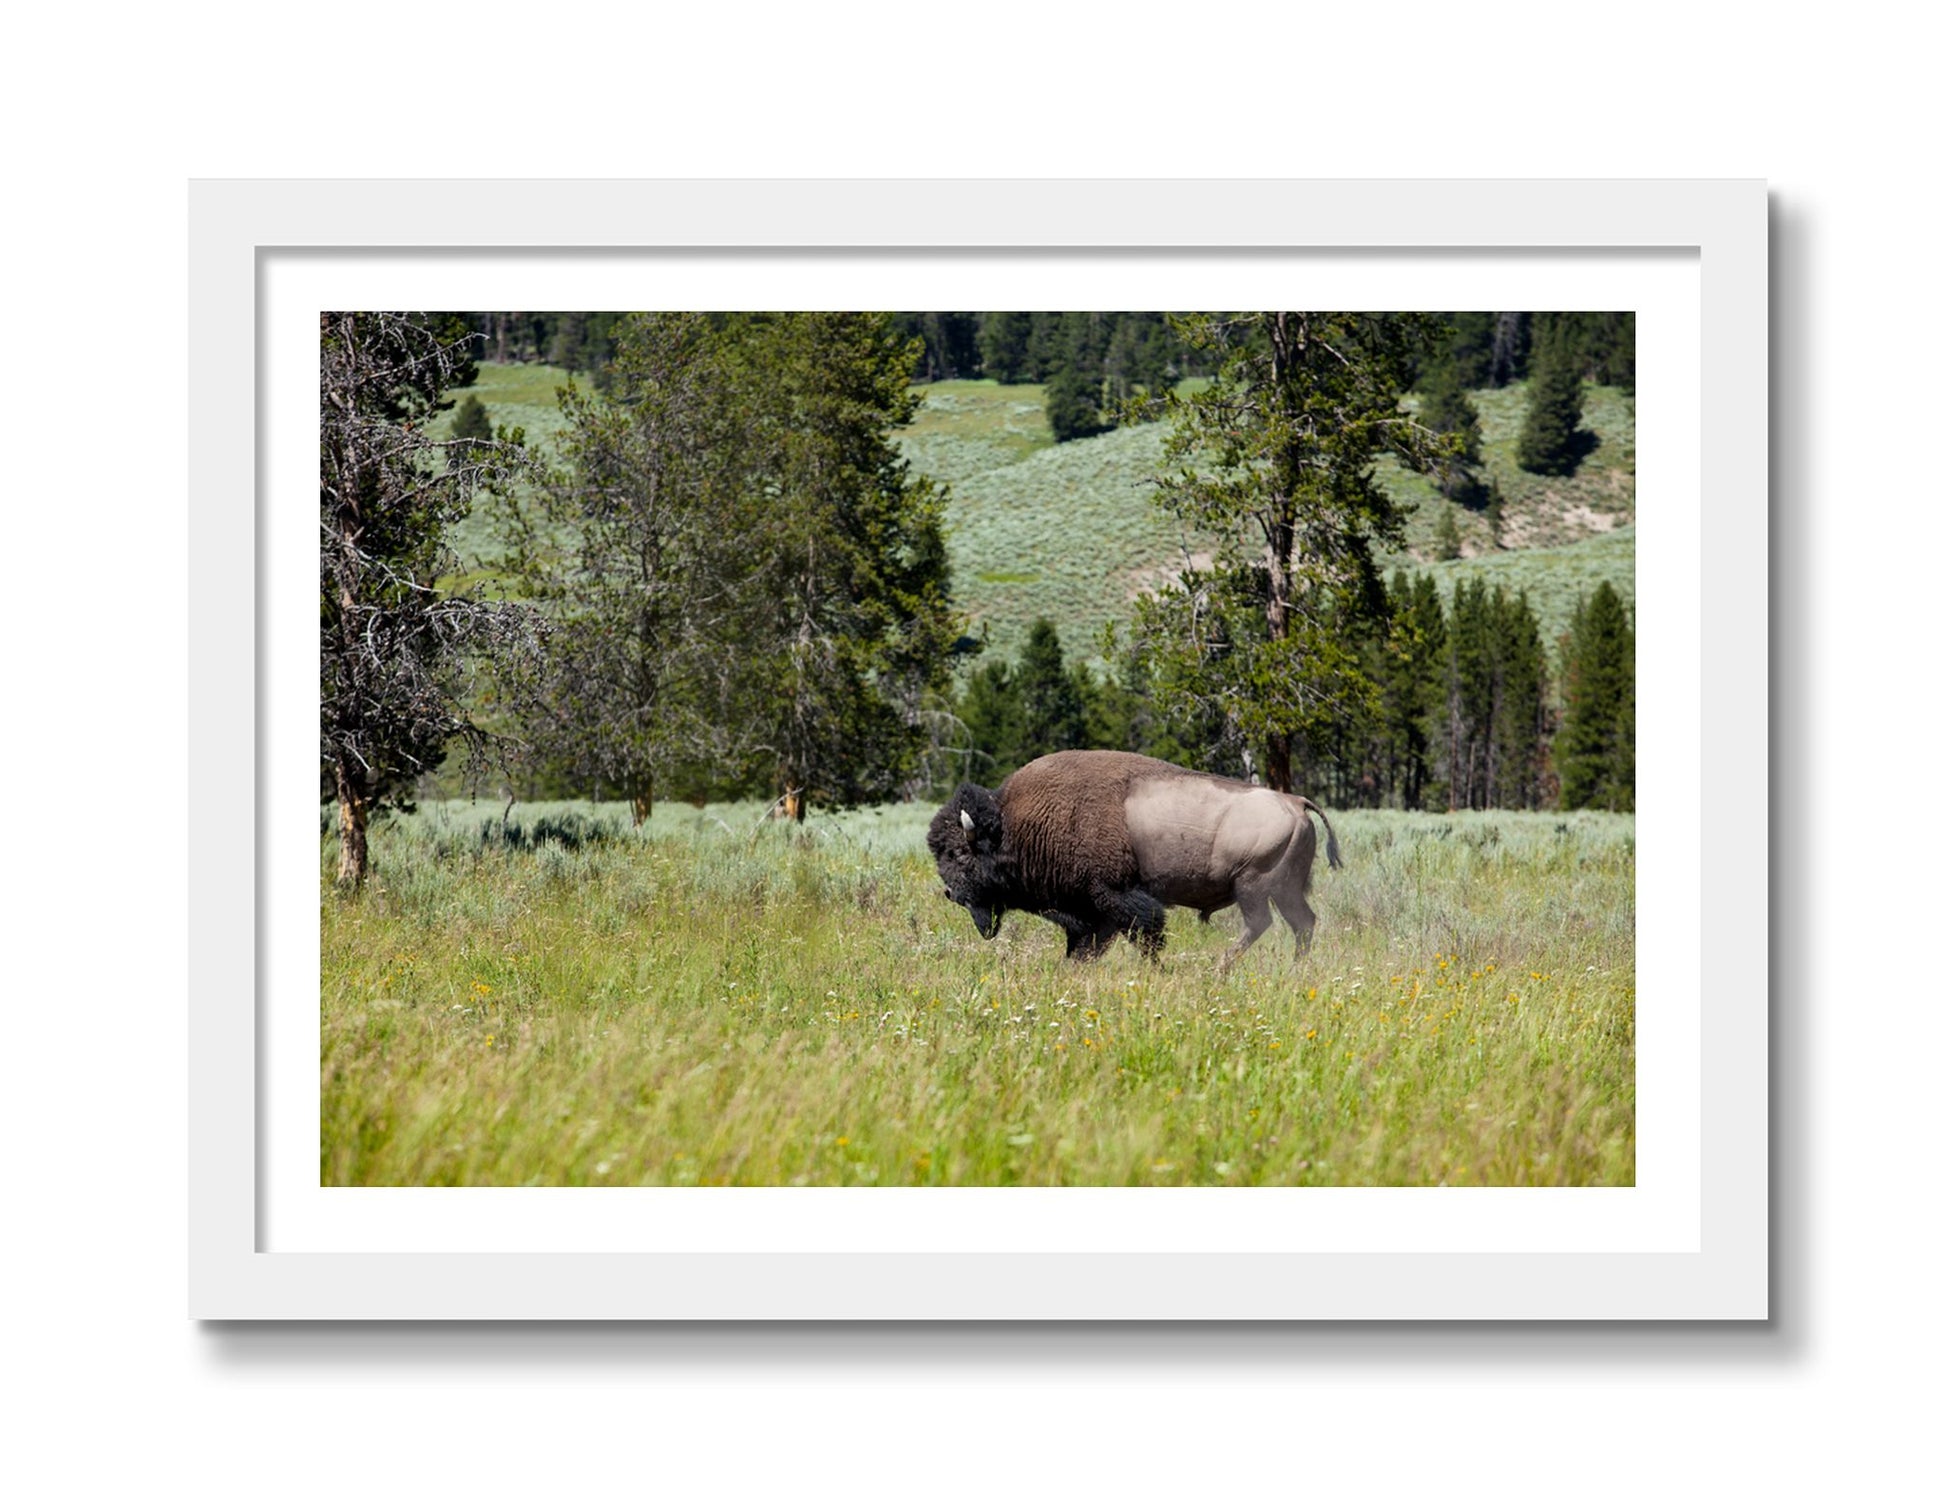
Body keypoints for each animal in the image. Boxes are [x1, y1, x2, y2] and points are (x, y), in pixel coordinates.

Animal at [926, 749, 1341, 971]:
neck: (1015, 825)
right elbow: (1087, 945)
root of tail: (1295, 802)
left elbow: (1145, 935)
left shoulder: (1116, 898)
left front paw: (1158, 970)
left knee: (1261, 923)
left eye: (957, 853)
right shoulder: (1092, 912)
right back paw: (1294, 968)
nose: (950, 893)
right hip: (1285, 889)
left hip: (1253, 885)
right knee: (1302, 923)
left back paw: (1219, 967)